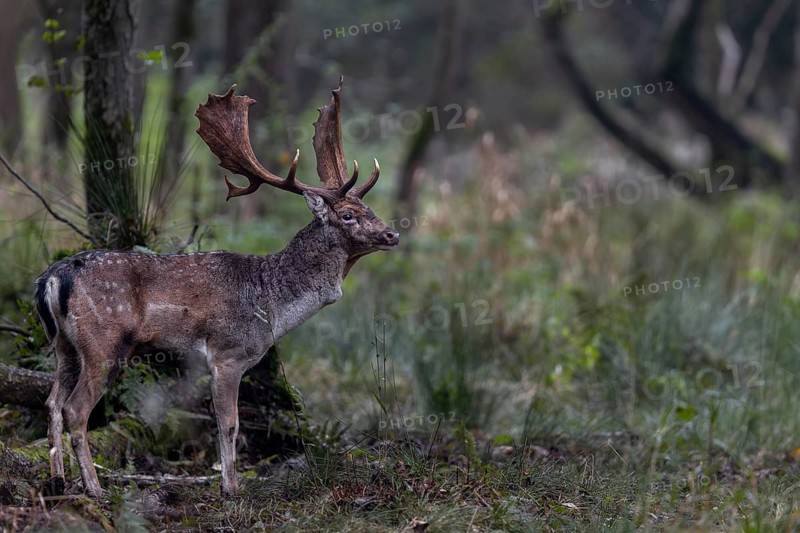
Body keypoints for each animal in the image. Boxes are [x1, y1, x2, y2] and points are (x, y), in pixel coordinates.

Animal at [34, 77, 399, 498]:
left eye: (370, 210)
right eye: (349, 215)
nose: (393, 233)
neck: (270, 303)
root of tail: (50, 279)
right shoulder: (227, 352)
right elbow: (229, 424)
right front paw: (231, 488)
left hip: (65, 345)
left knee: (51, 402)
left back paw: (58, 479)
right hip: (104, 341)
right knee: (75, 408)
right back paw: (93, 487)